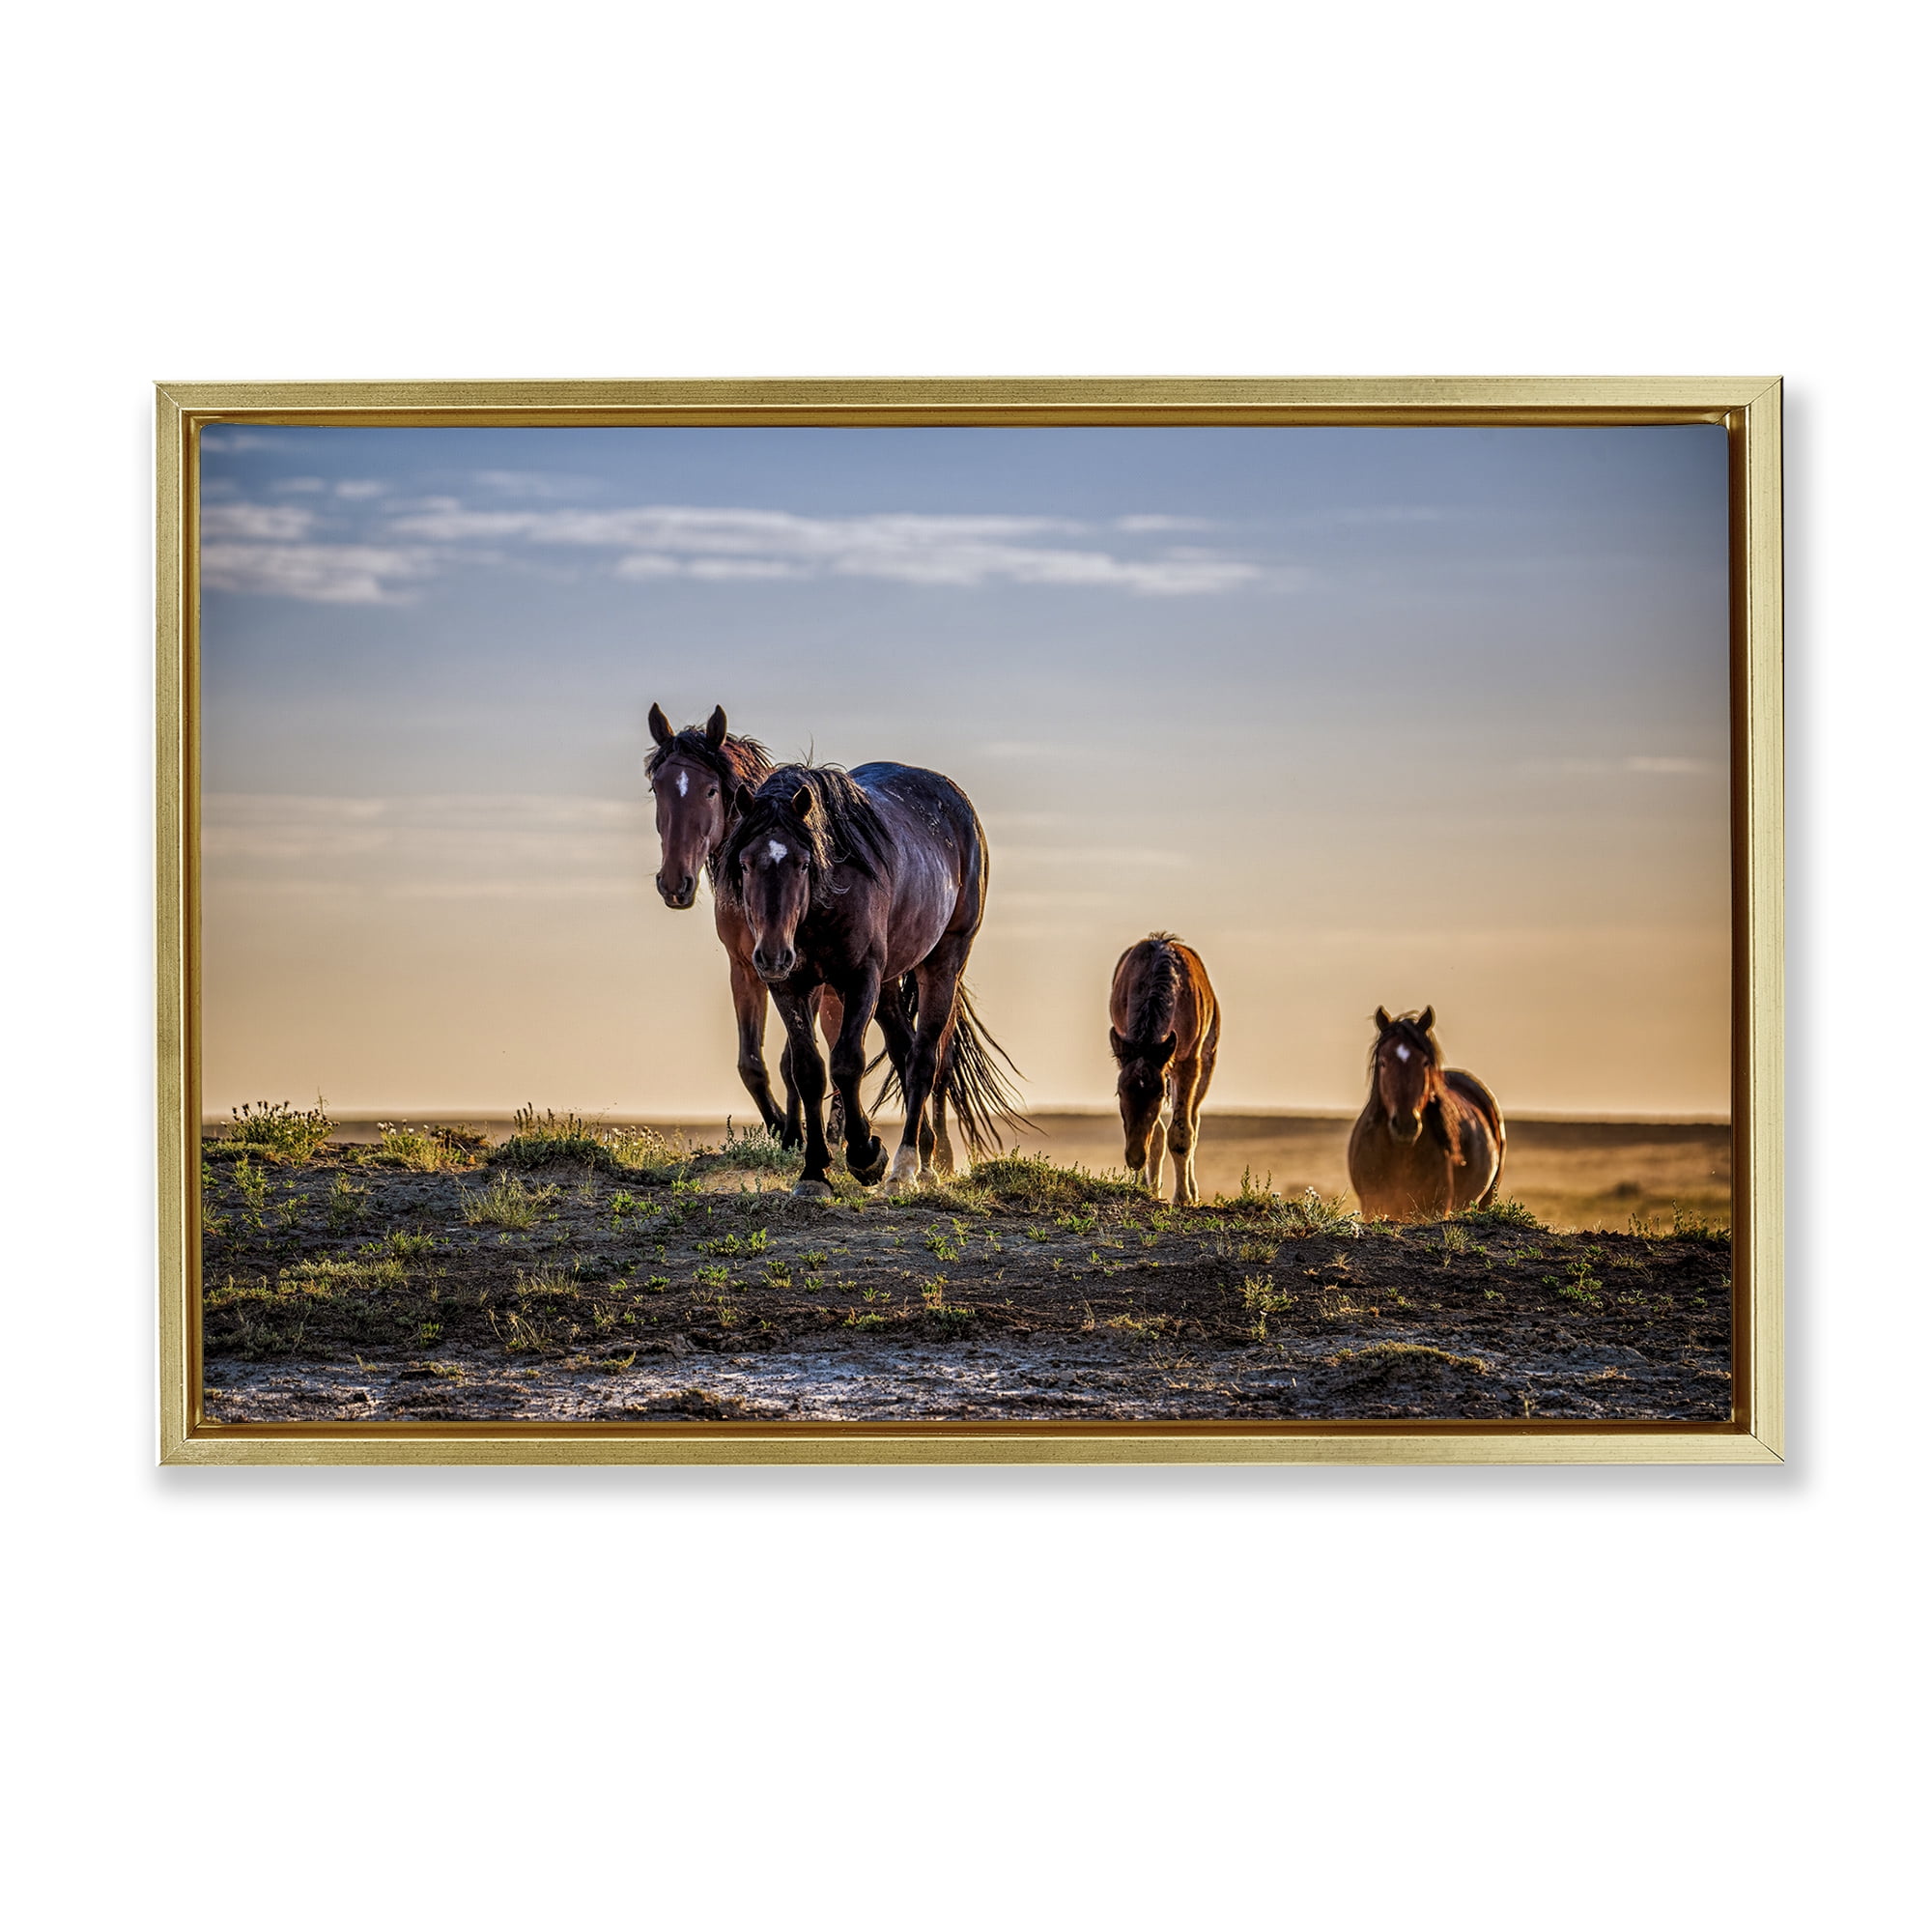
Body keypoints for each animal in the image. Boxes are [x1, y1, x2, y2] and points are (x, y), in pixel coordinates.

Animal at [645, 702, 840, 1146]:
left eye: (711, 790)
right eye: (657, 789)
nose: (675, 883)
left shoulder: (801, 975)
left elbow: (790, 1062)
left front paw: (796, 1134)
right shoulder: (745, 968)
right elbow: (752, 1063)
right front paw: (783, 1131)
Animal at [718, 761, 1029, 1197]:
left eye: (803, 863)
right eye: (745, 864)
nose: (773, 955)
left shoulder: (860, 977)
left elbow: (847, 1063)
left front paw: (866, 1156)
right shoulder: (789, 986)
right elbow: (808, 1070)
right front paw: (814, 1172)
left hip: (943, 962)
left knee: (923, 1059)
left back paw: (905, 1167)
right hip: (887, 985)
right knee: (904, 1050)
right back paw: (925, 1158)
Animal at [1108, 933, 1219, 1204]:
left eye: (1158, 1094)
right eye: (1120, 1093)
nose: (1135, 1157)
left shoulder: (1188, 1062)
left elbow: (1181, 1134)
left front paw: (1183, 1197)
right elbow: (1157, 1134)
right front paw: (1146, 1187)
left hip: (1206, 1062)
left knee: (1194, 1122)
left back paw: (1192, 1191)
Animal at [1346, 1006, 1505, 1222]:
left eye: (1424, 1062)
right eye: (1383, 1062)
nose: (1405, 1125)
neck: (1401, 1153)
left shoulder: (1434, 1208)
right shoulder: (1371, 1205)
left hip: (1487, 1197)